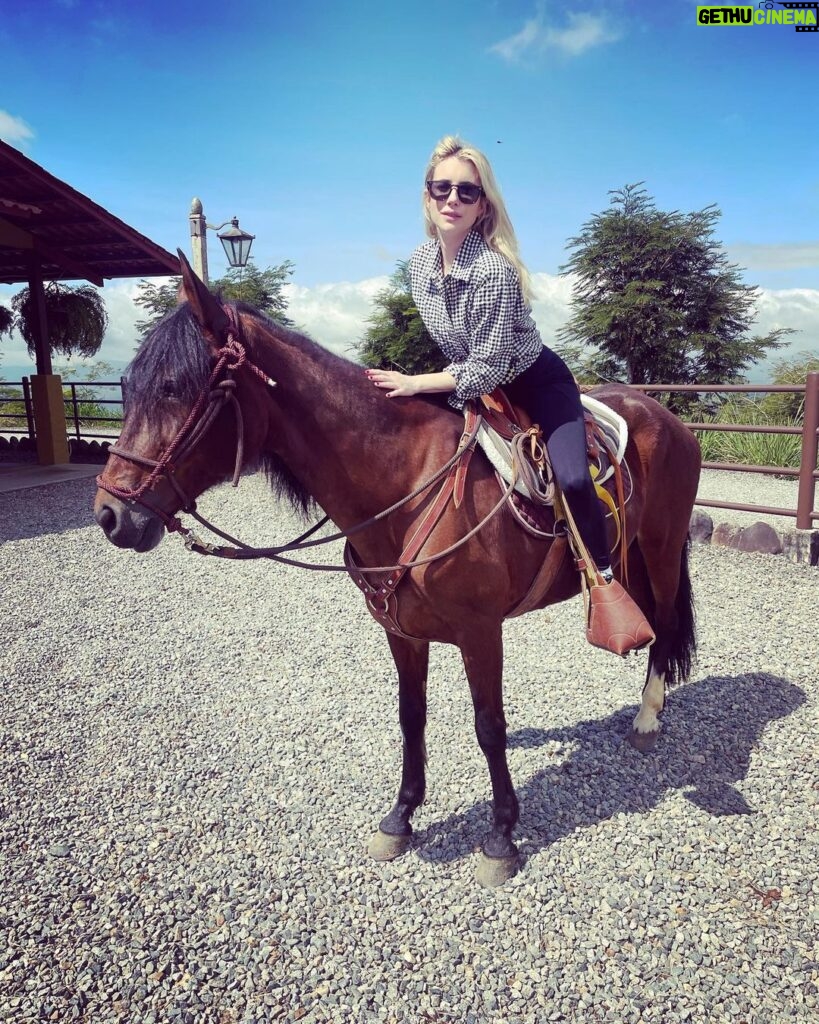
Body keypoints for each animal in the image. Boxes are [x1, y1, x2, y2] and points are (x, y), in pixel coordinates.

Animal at [94, 253, 696, 880]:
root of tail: (665, 415)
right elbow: (411, 718)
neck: (408, 482)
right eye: (132, 387)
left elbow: (489, 727)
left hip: (660, 548)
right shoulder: (401, 631)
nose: (111, 514)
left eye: (173, 387)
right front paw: (400, 819)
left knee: (665, 624)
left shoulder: (481, 632)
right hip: (630, 557)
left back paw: (648, 718)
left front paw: (501, 837)